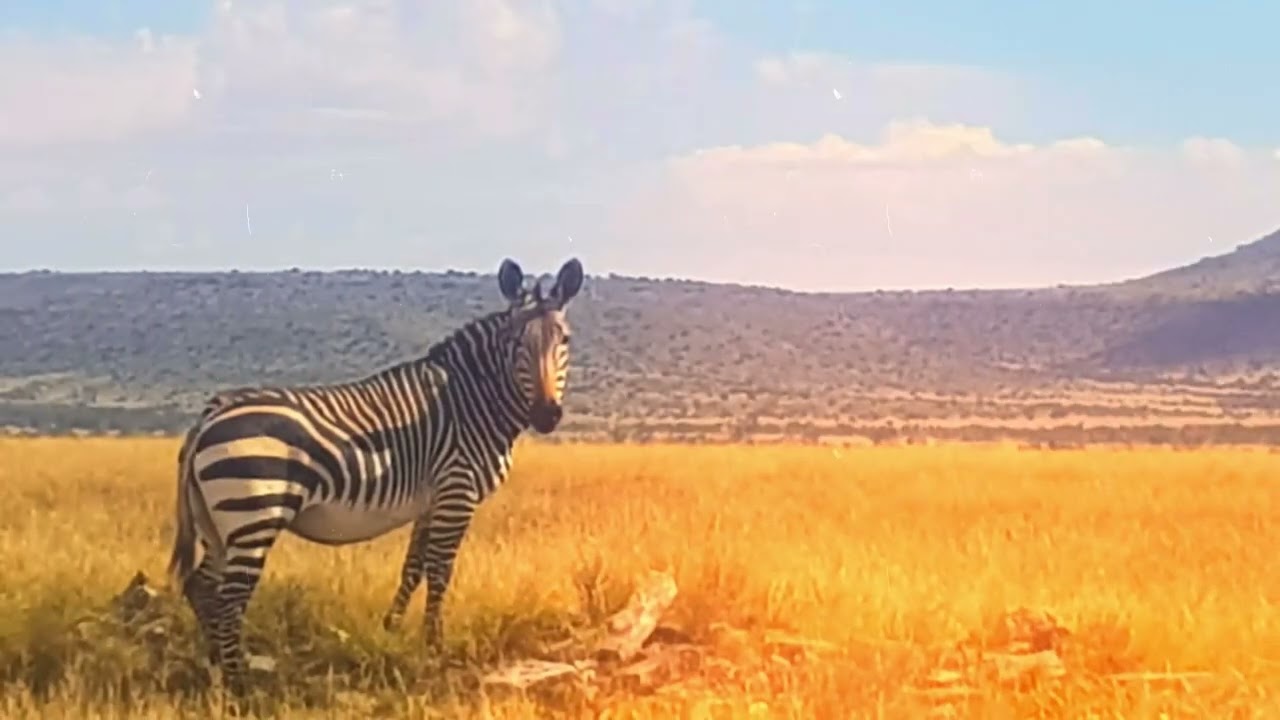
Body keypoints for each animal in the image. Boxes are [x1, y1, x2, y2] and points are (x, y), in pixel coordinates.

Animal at [167, 257, 584, 695]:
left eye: (565, 340)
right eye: (514, 342)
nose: (547, 415)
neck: (470, 402)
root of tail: (207, 418)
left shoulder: (432, 500)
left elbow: (414, 567)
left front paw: (392, 630)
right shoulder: (457, 490)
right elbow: (440, 571)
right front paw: (434, 646)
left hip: (217, 524)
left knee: (201, 585)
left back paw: (216, 665)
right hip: (254, 516)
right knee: (229, 598)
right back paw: (240, 684)